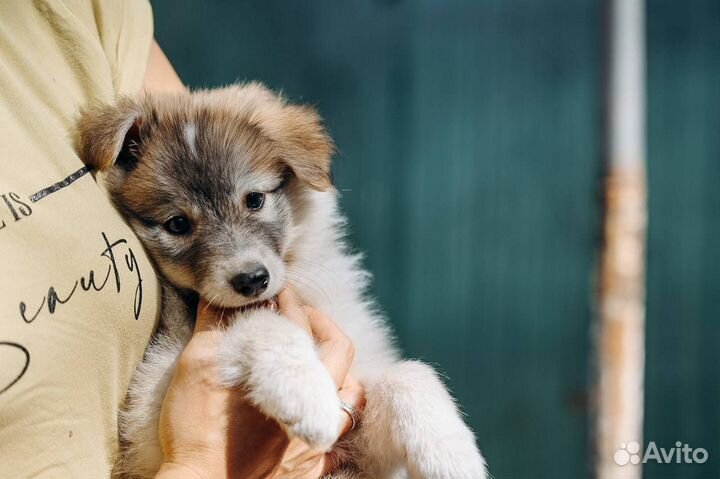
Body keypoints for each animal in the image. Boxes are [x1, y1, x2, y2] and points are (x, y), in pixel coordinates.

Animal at [76, 84, 486, 478]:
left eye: (254, 199)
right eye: (177, 224)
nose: (252, 280)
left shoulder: (362, 437)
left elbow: (409, 374)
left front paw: (451, 456)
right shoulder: (151, 407)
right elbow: (259, 321)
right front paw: (305, 392)